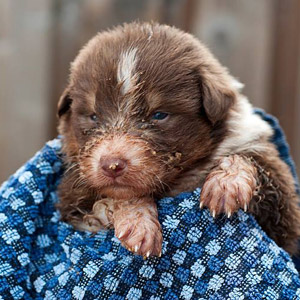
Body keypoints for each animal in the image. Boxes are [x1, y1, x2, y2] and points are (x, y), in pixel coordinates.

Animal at [56, 22, 300, 258]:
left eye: (159, 115)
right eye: (93, 116)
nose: (112, 165)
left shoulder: (282, 212)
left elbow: (249, 159)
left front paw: (226, 184)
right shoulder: (71, 194)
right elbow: (119, 195)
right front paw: (138, 224)